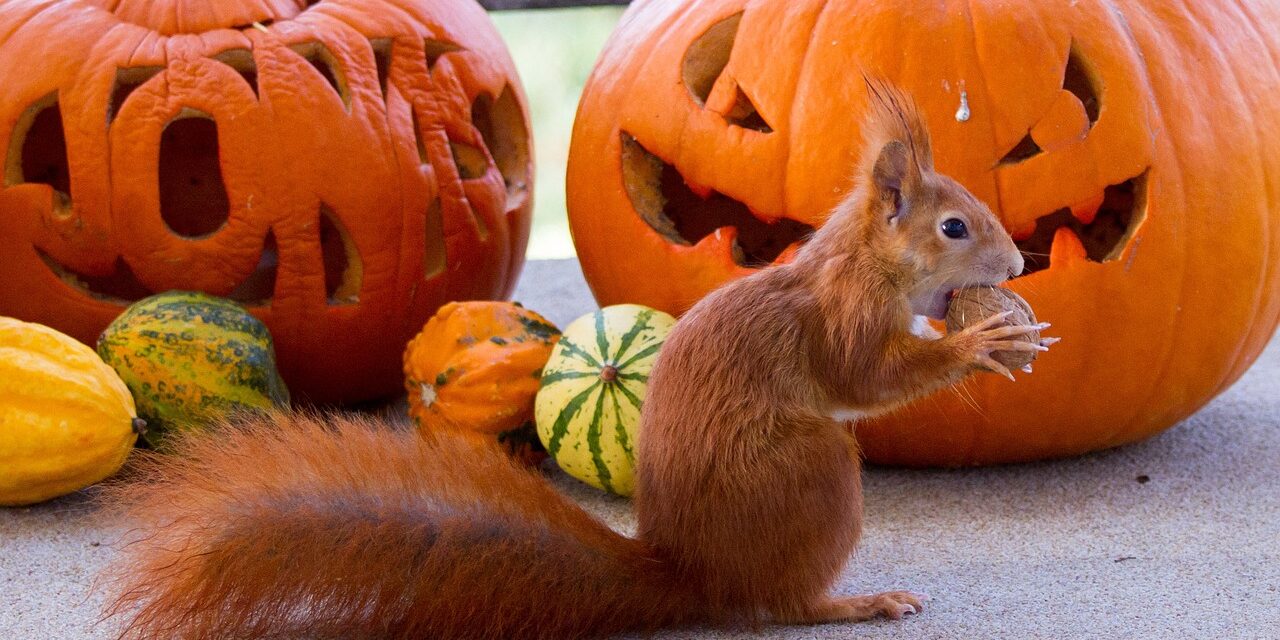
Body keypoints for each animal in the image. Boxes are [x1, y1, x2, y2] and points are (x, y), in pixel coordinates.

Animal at [101, 80, 1052, 640]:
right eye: (954, 227)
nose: (1015, 267)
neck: (859, 260)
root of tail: (689, 574)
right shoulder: (842, 318)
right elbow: (864, 379)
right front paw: (980, 342)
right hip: (812, 471)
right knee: (782, 605)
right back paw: (854, 602)